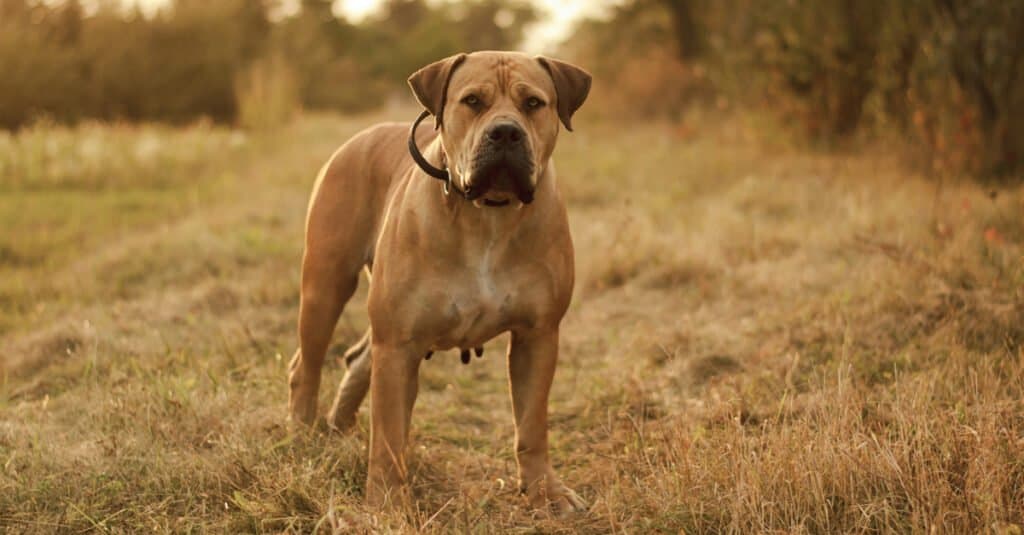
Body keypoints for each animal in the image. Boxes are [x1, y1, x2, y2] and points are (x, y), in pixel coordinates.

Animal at [288, 52, 593, 510]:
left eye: (534, 104)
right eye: (473, 101)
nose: (506, 132)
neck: (489, 214)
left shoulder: (537, 336)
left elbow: (532, 424)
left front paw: (545, 490)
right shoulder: (399, 344)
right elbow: (389, 434)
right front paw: (387, 503)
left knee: (358, 360)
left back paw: (340, 429)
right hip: (326, 286)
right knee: (305, 367)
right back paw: (304, 437)